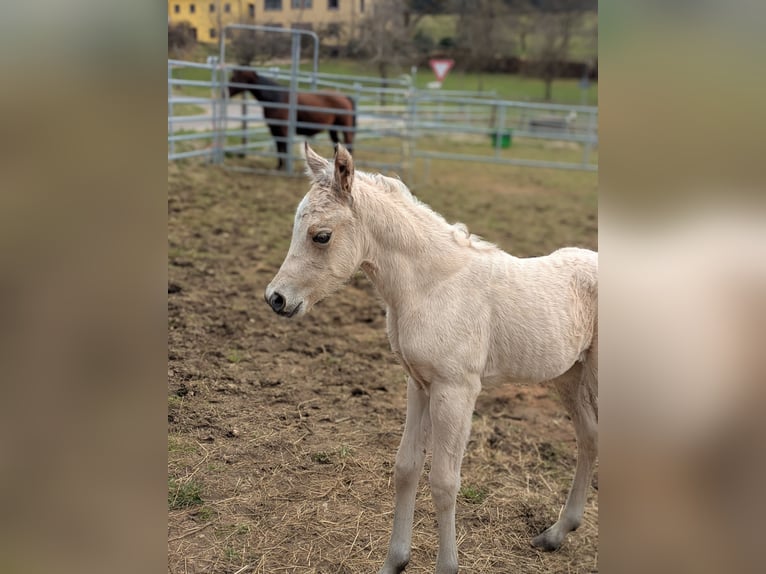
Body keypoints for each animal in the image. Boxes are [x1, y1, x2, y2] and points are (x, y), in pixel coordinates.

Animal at [265, 143, 598, 574]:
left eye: (321, 236)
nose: (276, 299)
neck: (431, 286)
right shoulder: (418, 383)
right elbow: (406, 467)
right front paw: (394, 562)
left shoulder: (455, 390)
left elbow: (443, 481)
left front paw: (445, 565)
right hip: (569, 376)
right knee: (589, 437)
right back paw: (556, 533)